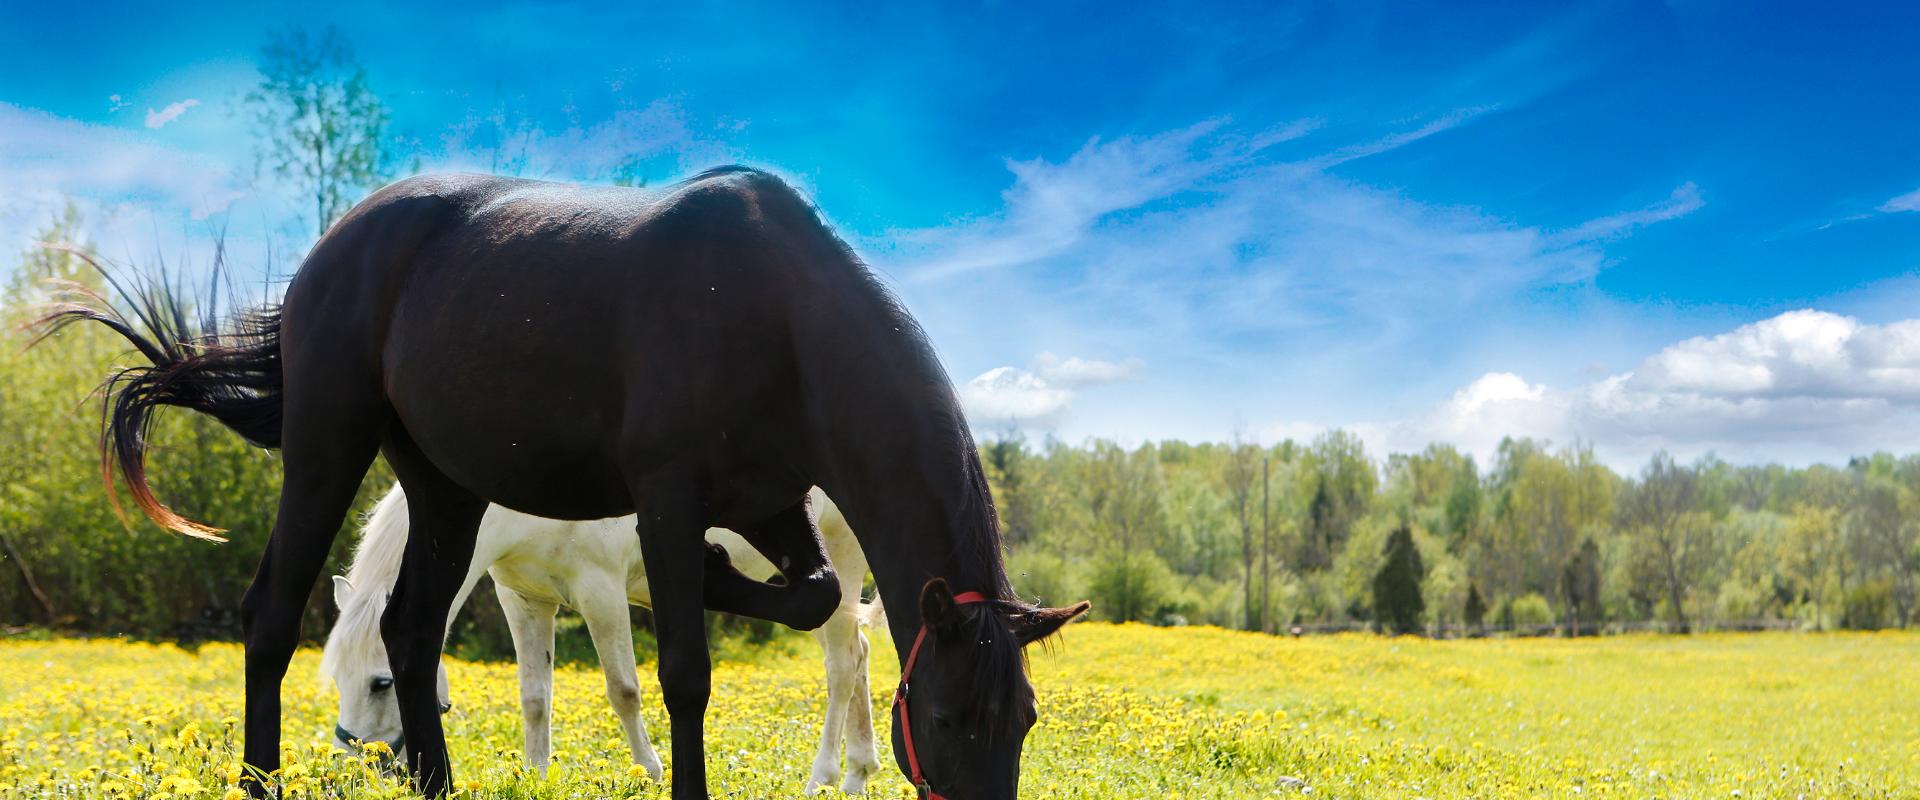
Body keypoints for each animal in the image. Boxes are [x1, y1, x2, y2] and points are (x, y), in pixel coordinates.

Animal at [322, 479, 883, 790]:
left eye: (381, 682)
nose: (356, 772)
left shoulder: (601, 590)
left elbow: (624, 691)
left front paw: (651, 772)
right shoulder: (523, 600)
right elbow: (535, 699)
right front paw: (536, 776)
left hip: (840, 557)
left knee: (840, 668)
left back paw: (822, 778)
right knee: (857, 653)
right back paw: (857, 776)